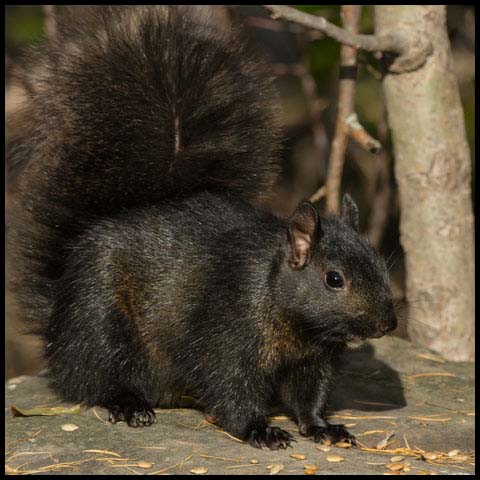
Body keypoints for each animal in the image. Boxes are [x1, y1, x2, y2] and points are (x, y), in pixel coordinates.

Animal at [8, 6, 398, 450]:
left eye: (381, 265)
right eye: (334, 279)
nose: (389, 324)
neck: (295, 321)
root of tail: (57, 315)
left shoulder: (314, 358)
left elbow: (309, 395)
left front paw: (322, 427)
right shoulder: (224, 333)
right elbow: (231, 388)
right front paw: (260, 429)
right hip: (99, 318)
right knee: (95, 376)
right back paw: (128, 404)